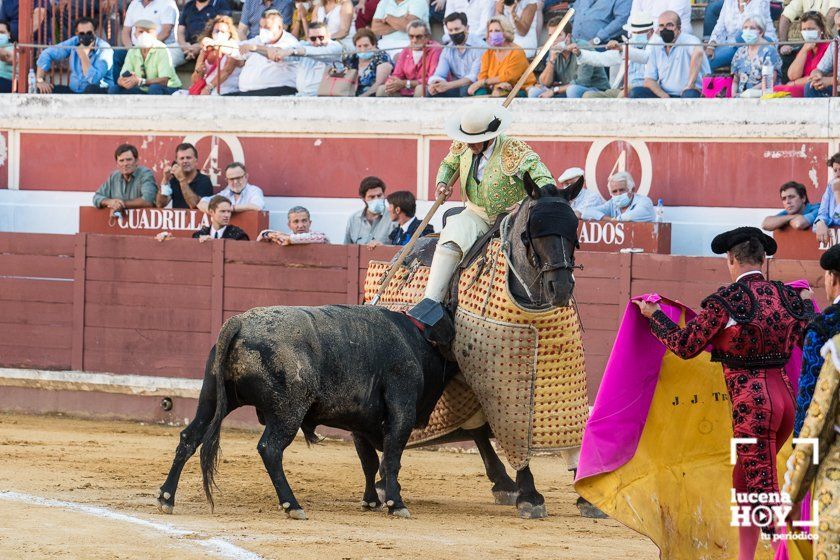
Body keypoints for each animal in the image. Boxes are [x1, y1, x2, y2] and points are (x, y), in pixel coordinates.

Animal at [158, 304, 460, 520]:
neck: (415, 340)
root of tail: (240, 322)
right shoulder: (402, 408)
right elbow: (392, 458)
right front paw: (395, 503)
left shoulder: (360, 424)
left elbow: (370, 462)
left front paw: (371, 500)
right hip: (288, 411)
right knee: (270, 448)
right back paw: (292, 505)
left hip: (211, 399)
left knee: (189, 438)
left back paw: (166, 497)